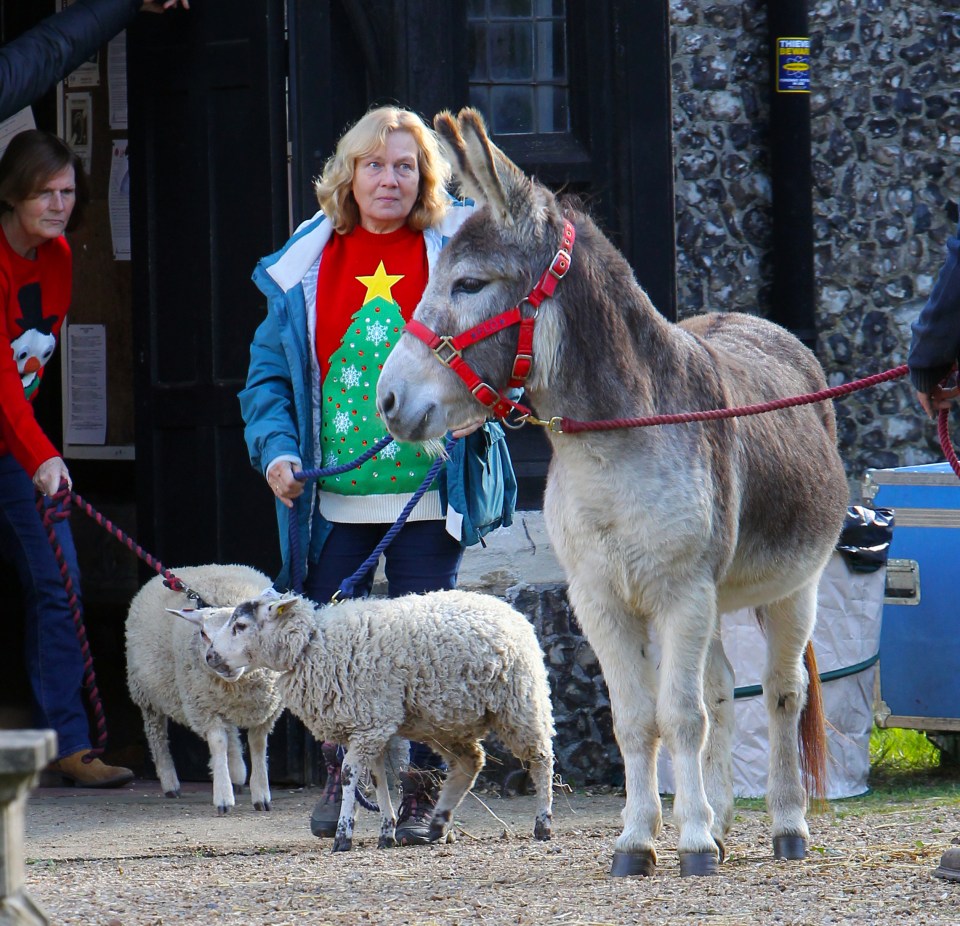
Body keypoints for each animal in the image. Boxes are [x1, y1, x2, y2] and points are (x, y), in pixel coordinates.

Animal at [124, 560, 284, 816]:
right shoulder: (203, 706)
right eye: (203, 633)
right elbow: (218, 743)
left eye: (240, 629)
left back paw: (237, 773)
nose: (213, 659)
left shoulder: (266, 710)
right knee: (157, 736)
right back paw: (171, 783)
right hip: (146, 692)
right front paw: (223, 798)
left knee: (231, 733)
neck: (237, 685)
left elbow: (257, 745)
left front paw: (261, 795)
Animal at [202, 592, 556, 852]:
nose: (210, 657)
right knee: (471, 762)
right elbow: (377, 778)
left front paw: (343, 835)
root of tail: (511, 611)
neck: (313, 644)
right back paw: (439, 822)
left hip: (521, 702)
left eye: (241, 625)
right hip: (444, 723)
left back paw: (543, 823)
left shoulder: (370, 722)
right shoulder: (371, 725)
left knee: (541, 758)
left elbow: (349, 775)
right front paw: (385, 831)